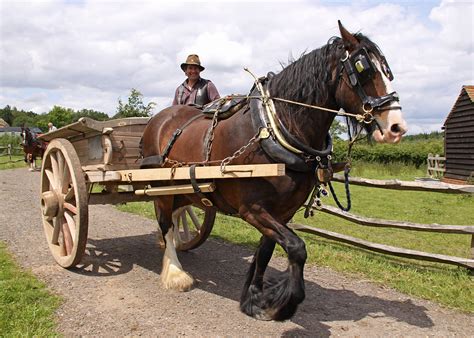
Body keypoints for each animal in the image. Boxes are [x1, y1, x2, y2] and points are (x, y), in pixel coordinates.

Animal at [140, 21, 408, 322]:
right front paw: (284, 303)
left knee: (175, 218)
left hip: (182, 191)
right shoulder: (253, 209)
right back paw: (175, 272)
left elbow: (266, 252)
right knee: (165, 223)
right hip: (159, 186)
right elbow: (297, 248)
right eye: (363, 69)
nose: (396, 128)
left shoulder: (283, 211)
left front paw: (255, 298)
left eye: (387, 69)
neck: (274, 128)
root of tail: (158, 119)